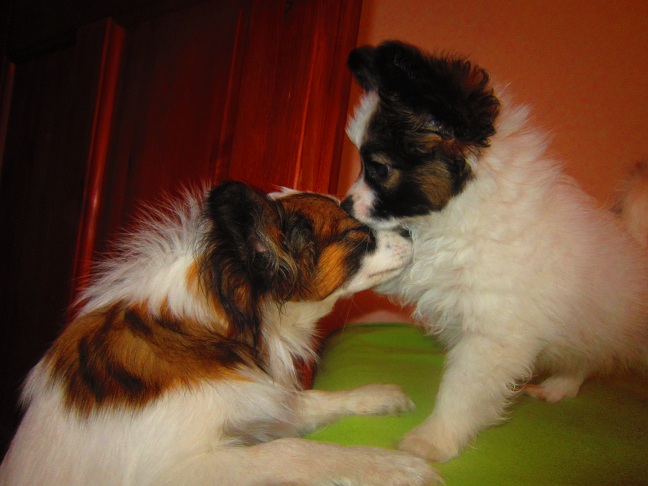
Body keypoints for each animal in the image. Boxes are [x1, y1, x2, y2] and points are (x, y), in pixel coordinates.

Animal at [0, 181, 441, 485]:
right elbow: (293, 451)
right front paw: (390, 465)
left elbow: (309, 401)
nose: (410, 232)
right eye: (357, 236)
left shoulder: (259, 405)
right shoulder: (183, 468)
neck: (221, 325)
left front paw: (377, 396)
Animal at [342, 40, 648, 463]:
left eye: (379, 168)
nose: (344, 205)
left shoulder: (492, 334)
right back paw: (558, 387)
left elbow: (460, 389)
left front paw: (433, 440)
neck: (460, 208)